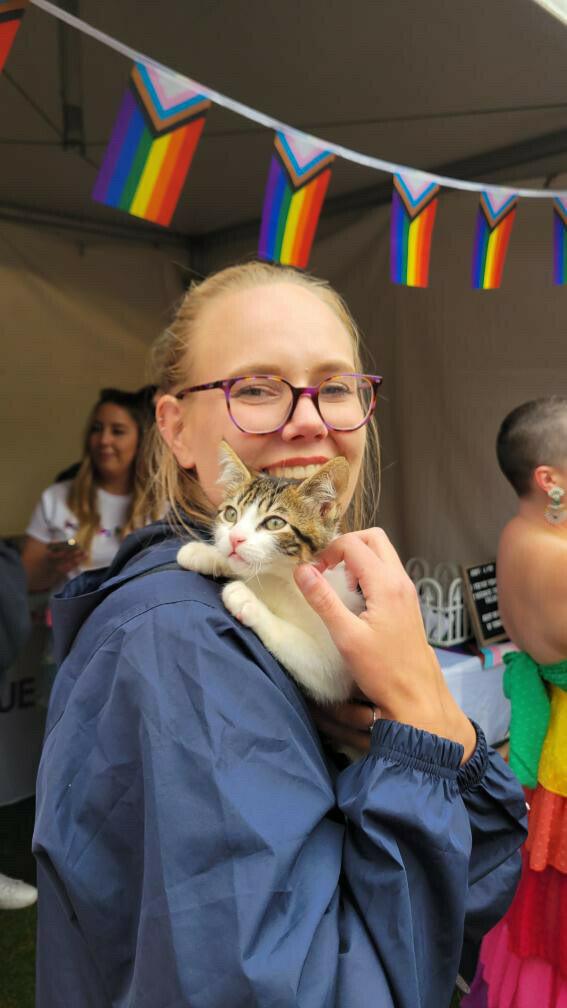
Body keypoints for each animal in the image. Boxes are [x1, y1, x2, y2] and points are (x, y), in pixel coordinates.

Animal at [176, 437, 361, 705]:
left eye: (274, 523)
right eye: (231, 514)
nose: (234, 538)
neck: (281, 577)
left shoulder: (338, 666)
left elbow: (301, 647)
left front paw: (247, 599)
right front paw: (203, 553)